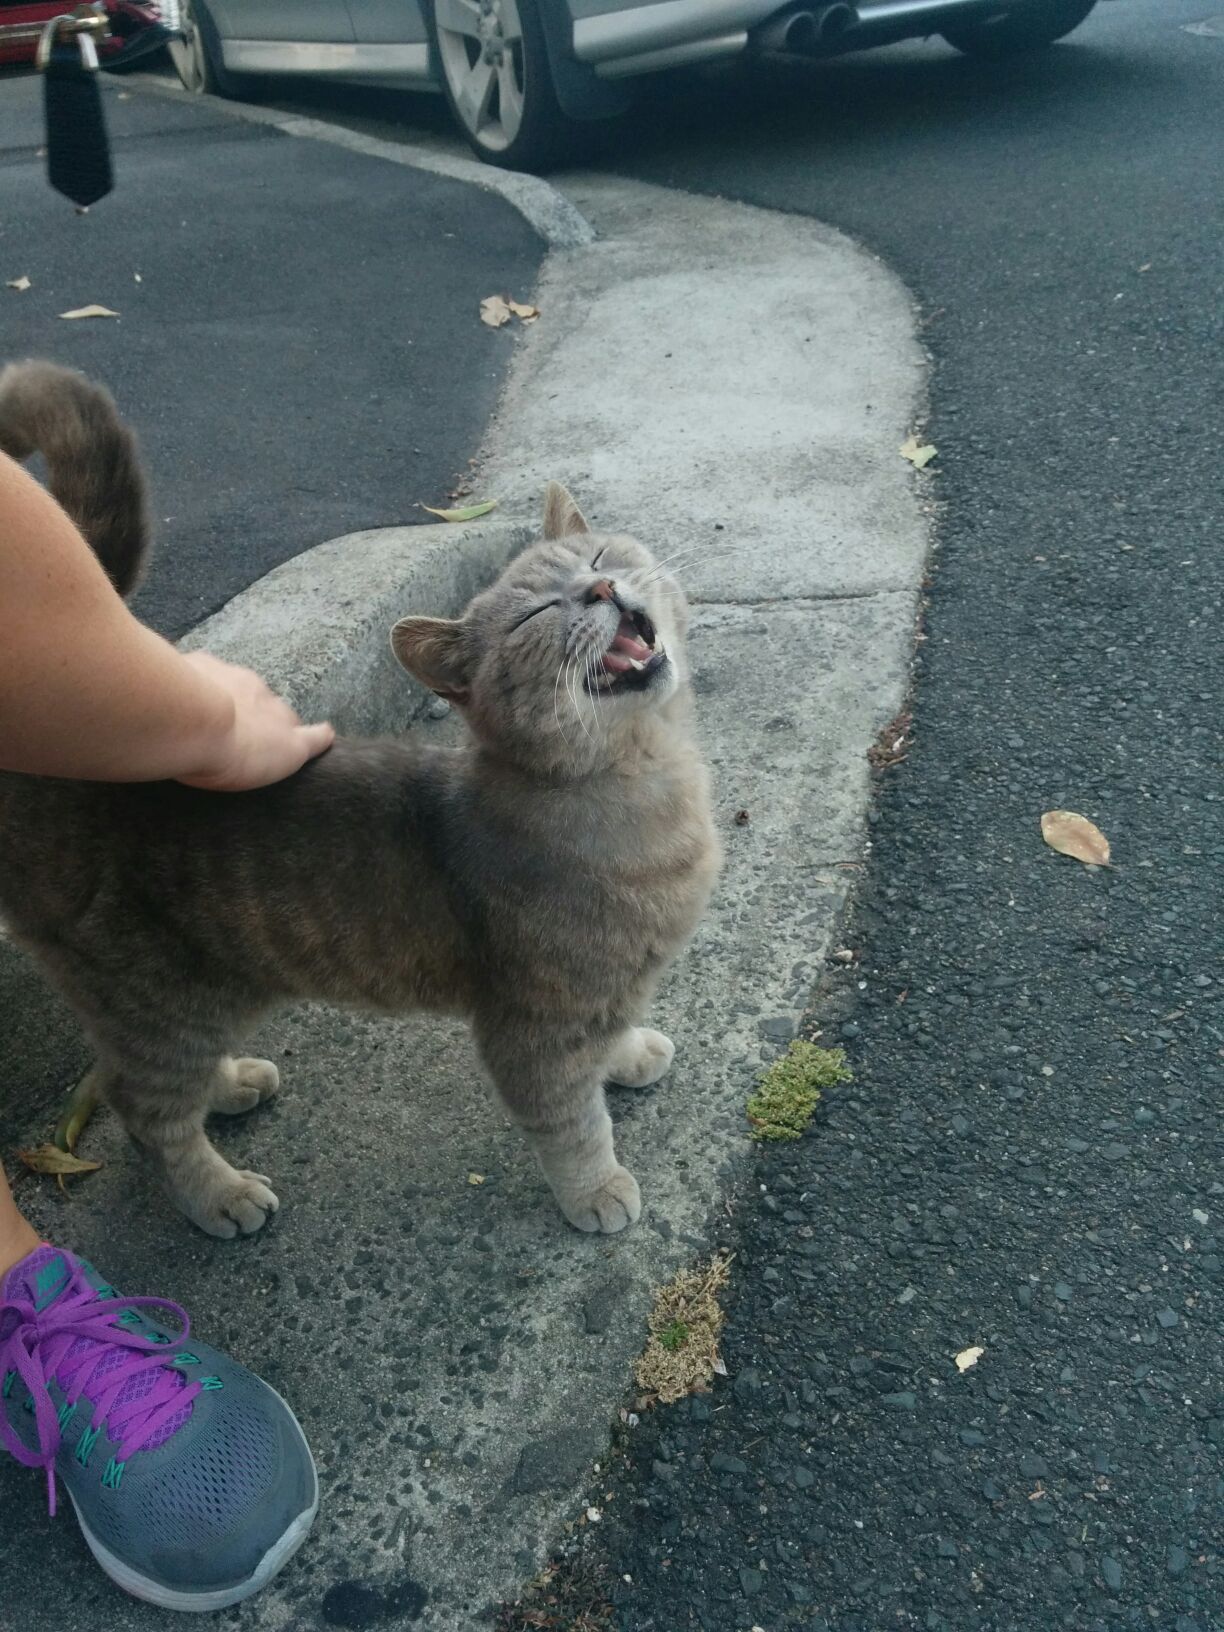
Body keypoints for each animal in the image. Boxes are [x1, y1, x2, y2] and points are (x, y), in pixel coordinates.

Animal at [0, 363, 718, 1233]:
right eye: (540, 614)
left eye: (600, 554)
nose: (601, 587)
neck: (650, 779)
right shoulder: (534, 1026)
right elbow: (572, 1122)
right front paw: (597, 1189)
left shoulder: (603, 994)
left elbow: (607, 1045)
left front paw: (627, 1053)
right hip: (158, 997)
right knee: (141, 1109)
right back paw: (218, 1194)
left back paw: (230, 1085)